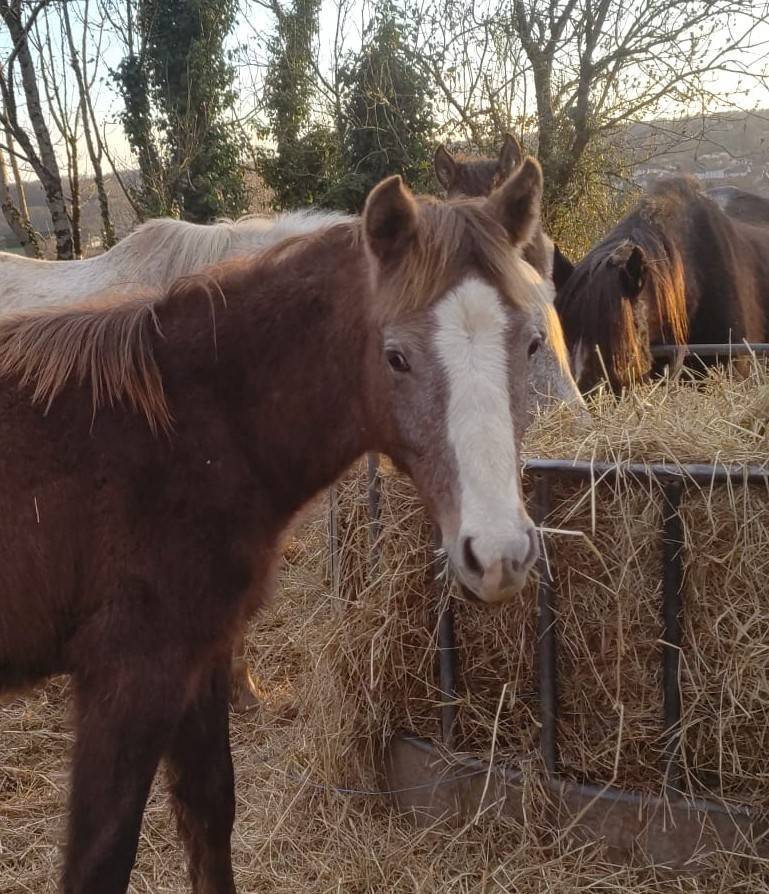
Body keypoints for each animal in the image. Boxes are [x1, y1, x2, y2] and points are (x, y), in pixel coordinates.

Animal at [1, 162, 547, 893]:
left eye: (531, 341)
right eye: (395, 356)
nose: (498, 554)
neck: (180, 429)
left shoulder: (198, 657)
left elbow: (210, 814)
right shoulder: (129, 675)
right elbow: (101, 858)